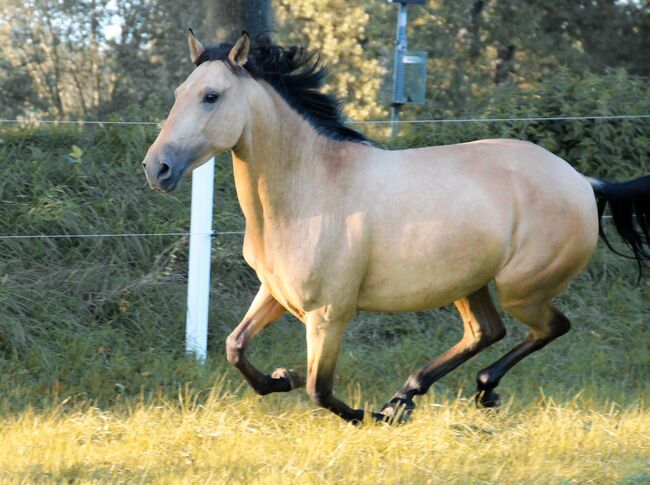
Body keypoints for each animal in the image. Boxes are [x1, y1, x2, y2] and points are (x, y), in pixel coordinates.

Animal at [142, 31, 648, 424]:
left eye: (211, 96)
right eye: (179, 93)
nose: (157, 168)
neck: (311, 188)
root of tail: (583, 181)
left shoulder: (329, 314)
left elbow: (320, 390)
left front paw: (363, 413)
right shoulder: (275, 292)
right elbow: (235, 347)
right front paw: (282, 379)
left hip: (522, 288)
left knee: (550, 327)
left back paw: (464, 392)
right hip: (468, 282)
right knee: (485, 332)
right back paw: (412, 395)